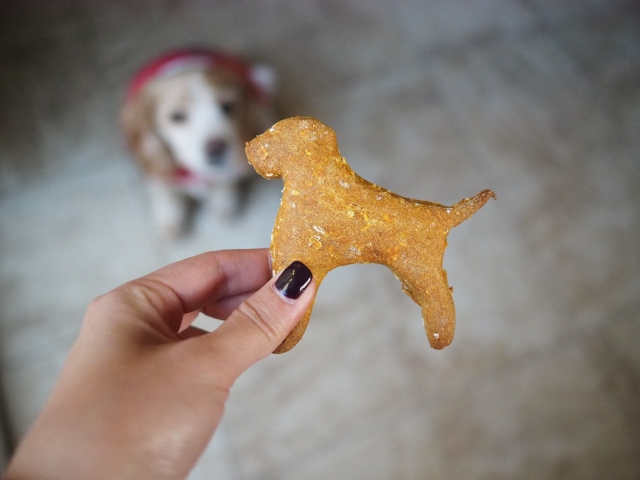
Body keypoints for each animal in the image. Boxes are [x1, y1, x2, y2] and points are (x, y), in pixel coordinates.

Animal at [121, 48, 276, 236]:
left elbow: (224, 183)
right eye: (177, 116)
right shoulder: (156, 169)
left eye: (228, 106)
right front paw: (170, 220)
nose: (216, 149)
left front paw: (223, 203)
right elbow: (165, 194)